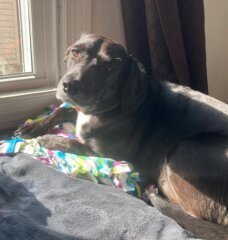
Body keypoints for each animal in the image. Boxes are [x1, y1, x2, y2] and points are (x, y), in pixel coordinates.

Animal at [16, 33, 227, 238]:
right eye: (75, 52)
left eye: (110, 66)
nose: (69, 86)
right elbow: (62, 110)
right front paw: (32, 127)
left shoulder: (113, 156)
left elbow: (76, 144)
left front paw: (49, 140)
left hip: (182, 150)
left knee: (190, 214)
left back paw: (152, 192)